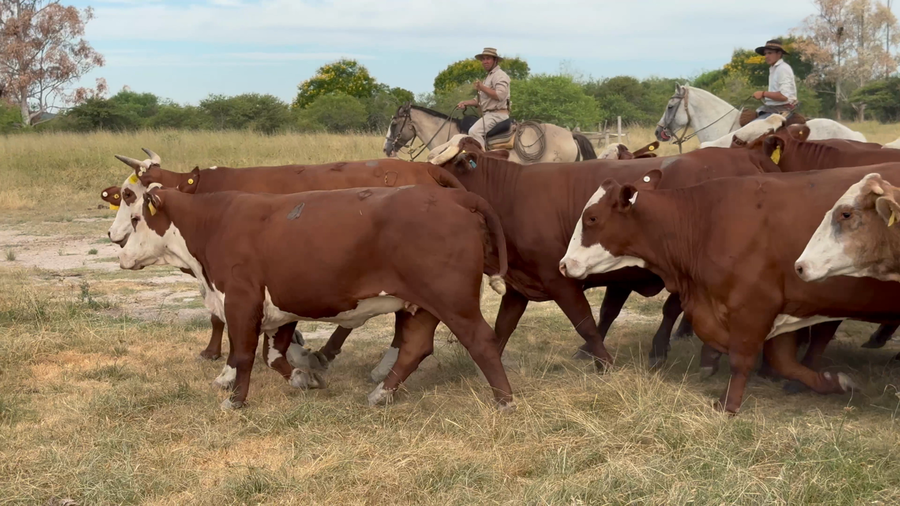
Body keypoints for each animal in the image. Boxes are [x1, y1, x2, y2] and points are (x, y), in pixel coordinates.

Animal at [108, 149, 465, 371]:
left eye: (131, 197)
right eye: (122, 195)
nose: (113, 235)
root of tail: (425, 167)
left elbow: (221, 317)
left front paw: (214, 353)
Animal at [118, 184, 513, 410]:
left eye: (136, 218)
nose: (117, 247)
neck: (215, 223)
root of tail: (452, 195)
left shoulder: (241, 299)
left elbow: (243, 354)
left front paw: (236, 400)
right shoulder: (279, 306)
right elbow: (273, 355)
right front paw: (303, 377)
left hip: (453, 299)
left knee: (481, 340)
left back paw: (504, 399)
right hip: (422, 304)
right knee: (415, 348)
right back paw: (381, 395)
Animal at [425, 135, 781, 369]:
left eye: (442, 179)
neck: (508, 195)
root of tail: (747, 156)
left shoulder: (560, 279)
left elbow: (586, 322)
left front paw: (605, 363)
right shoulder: (518, 286)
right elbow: (502, 329)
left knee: (674, 309)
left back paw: (668, 350)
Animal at [559, 163, 900, 413]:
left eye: (592, 218)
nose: (563, 264)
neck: (705, 221)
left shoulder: (755, 306)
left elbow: (742, 359)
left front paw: (729, 404)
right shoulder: (786, 306)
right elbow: (784, 363)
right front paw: (833, 383)